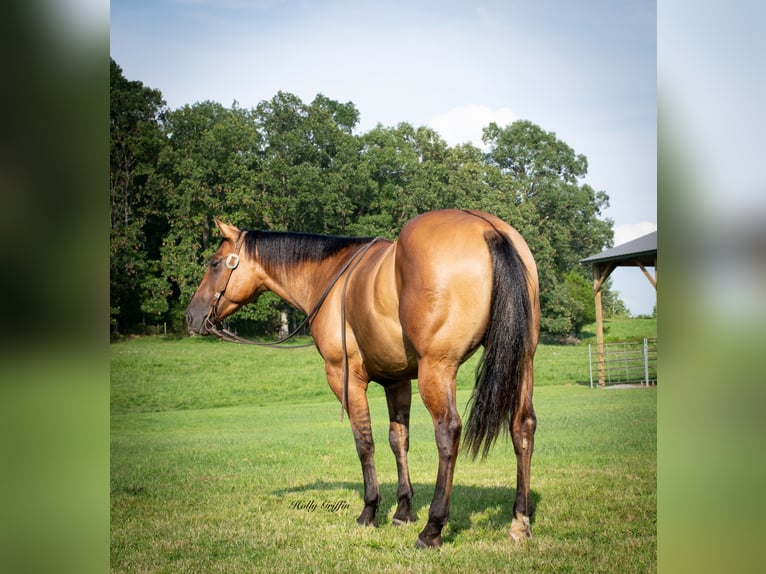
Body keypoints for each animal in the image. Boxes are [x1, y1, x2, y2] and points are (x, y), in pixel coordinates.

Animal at [186, 209, 540, 548]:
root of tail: (487, 229)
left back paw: (432, 529)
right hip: (523, 360)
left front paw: (370, 511)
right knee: (522, 426)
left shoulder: (345, 376)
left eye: (214, 263)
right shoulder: (397, 381)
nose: (191, 316)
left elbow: (364, 441)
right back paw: (519, 521)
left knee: (448, 431)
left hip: (437, 369)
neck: (330, 277)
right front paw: (403, 511)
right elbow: (399, 440)